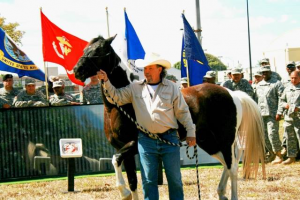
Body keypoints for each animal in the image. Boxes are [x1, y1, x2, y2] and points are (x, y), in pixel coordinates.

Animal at [74, 35, 266, 199]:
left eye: (100, 50)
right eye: (85, 49)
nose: (77, 70)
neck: (120, 106)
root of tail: (232, 94)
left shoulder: (133, 145)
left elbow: (115, 161)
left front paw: (124, 192)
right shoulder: (124, 149)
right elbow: (133, 181)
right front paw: (128, 192)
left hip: (224, 140)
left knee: (232, 166)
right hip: (207, 141)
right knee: (227, 163)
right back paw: (221, 193)